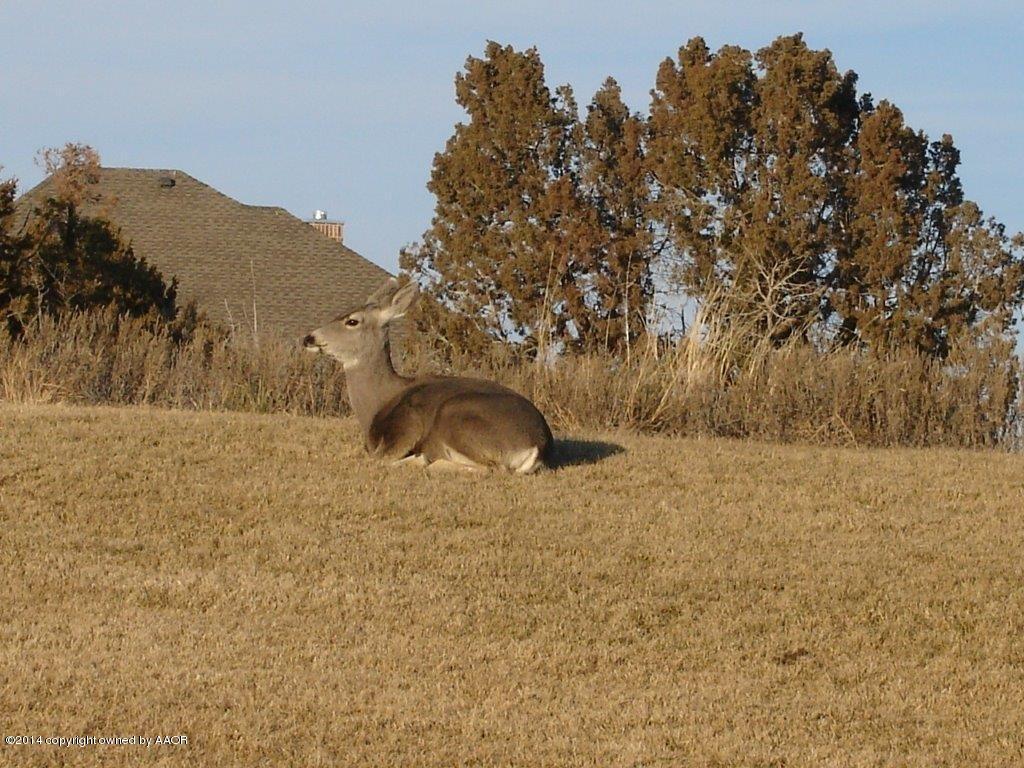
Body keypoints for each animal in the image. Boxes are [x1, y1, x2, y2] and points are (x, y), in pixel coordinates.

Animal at [303, 278, 553, 473]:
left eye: (352, 321)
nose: (309, 338)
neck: (377, 403)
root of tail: (538, 444)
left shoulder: (404, 429)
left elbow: (378, 460)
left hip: (457, 416)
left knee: (494, 468)